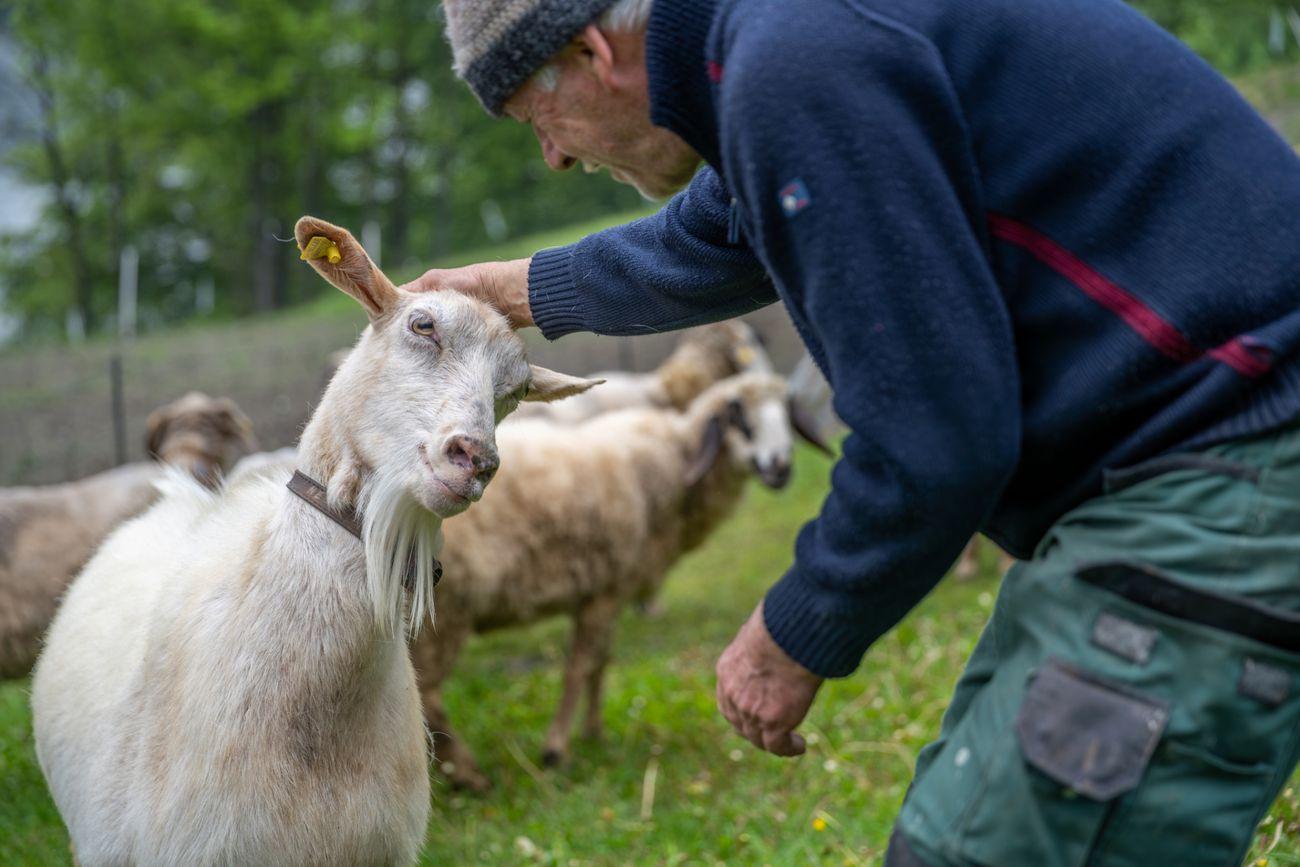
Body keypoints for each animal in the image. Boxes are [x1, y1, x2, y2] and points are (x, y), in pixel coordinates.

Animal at [408, 369, 790, 790]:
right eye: (740, 416)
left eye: (786, 413)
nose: (781, 469)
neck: (672, 462)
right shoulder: (606, 589)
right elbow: (580, 666)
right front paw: (556, 749)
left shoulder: (608, 589)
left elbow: (600, 661)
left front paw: (593, 732)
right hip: (446, 611)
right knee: (426, 694)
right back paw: (469, 774)